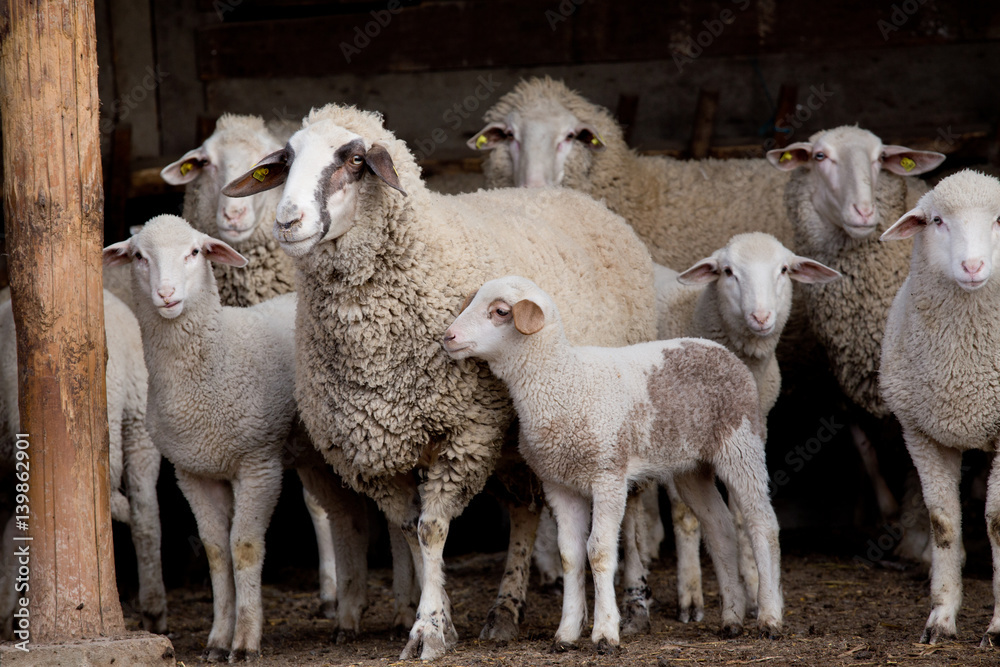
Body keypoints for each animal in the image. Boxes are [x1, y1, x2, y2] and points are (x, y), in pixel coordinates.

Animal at [103, 215, 369, 662]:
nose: (166, 294)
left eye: (194, 252)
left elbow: (243, 546)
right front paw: (217, 639)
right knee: (345, 519)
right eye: (139, 256)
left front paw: (245, 641)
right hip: (317, 459)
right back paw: (349, 615)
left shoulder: (257, 463)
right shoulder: (195, 472)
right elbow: (215, 552)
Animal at [220, 102, 656, 660]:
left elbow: (431, 530)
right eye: (287, 159)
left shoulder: (465, 434)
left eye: (354, 159)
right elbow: (410, 531)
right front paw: (443, 620)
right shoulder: (376, 452)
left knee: (634, 504)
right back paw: (504, 612)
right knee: (524, 511)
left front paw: (426, 629)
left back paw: (637, 604)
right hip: (517, 443)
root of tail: (582, 199)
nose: (287, 222)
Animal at [443, 275, 783, 650]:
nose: (449, 336)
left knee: (762, 523)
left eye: (501, 311)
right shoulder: (559, 483)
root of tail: (721, 351)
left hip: (741, 443)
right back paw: (732, 618)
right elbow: (570, 555)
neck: (563, 381)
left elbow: (600, 551)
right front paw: (566, 633)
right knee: (720, 528)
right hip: (692, 466)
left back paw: (769, 617)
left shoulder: (608, 475)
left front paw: (605, 631)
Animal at [765, 126, 945, 553]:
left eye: (880, 159)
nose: (864, 213)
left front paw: (920, 541)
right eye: (819, 157)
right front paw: (892, 516)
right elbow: (865, 447)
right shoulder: (846, 380)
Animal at [878, 170, 1000, 647]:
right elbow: (942, 523)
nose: (972, 267)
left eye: (999, 220)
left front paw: (997, 628)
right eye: (936, 221)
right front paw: (941, 618)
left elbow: (997, 522)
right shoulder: (922, 433)